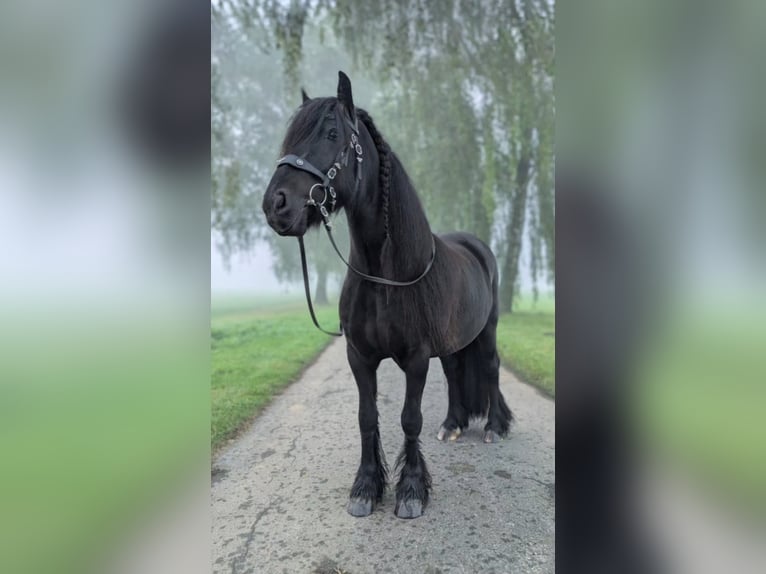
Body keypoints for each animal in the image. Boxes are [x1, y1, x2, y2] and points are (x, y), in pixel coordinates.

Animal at [262, 71, 512, 519]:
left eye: (331, 134)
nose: (276, 204)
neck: (385, 275)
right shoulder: (359, 356)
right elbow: (367, 417)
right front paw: (365, 488)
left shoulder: (415, 359)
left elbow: (409, 418)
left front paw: (411, 490)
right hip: (452, 343)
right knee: (455, 373)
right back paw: (452, 425)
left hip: (487, 330)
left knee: (490, 367)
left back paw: (495, 427)